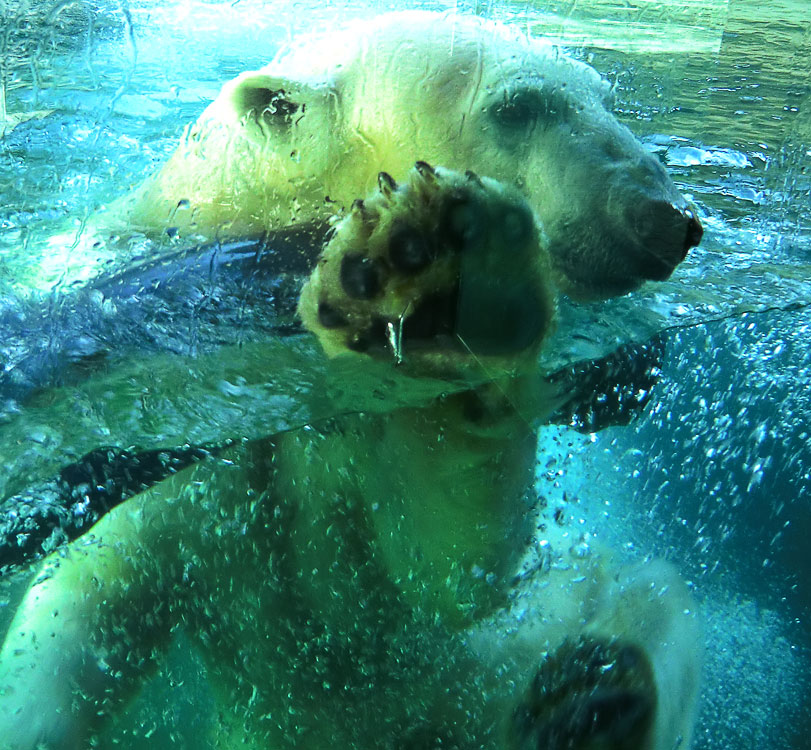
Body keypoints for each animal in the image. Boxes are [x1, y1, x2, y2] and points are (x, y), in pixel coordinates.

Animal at [1, 10, 704, 750]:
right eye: (517, 107)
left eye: (606, 96)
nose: (667, 217)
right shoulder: (137, 430)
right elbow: (83, 616)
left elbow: (445, 565)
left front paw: (462, 290)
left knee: (653, 597)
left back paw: (593, 697)